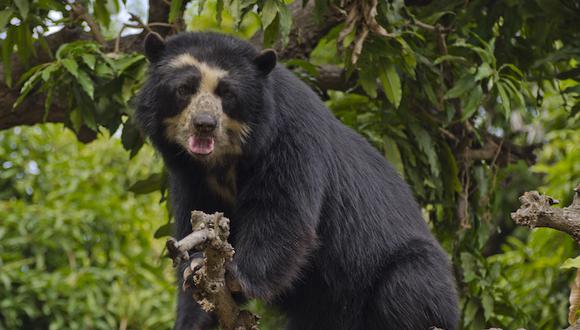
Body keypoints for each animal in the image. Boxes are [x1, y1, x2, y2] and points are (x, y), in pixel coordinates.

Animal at [135, 31, 458, 330]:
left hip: (406, 272)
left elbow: (283, 213)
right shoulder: (189, 177)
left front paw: (235, 276)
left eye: (227, 94)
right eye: (184, 89)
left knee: (406, 288)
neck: (224, 161)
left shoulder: (290, 137)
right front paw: (195, 294)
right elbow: (198, 222)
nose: (204, 125)